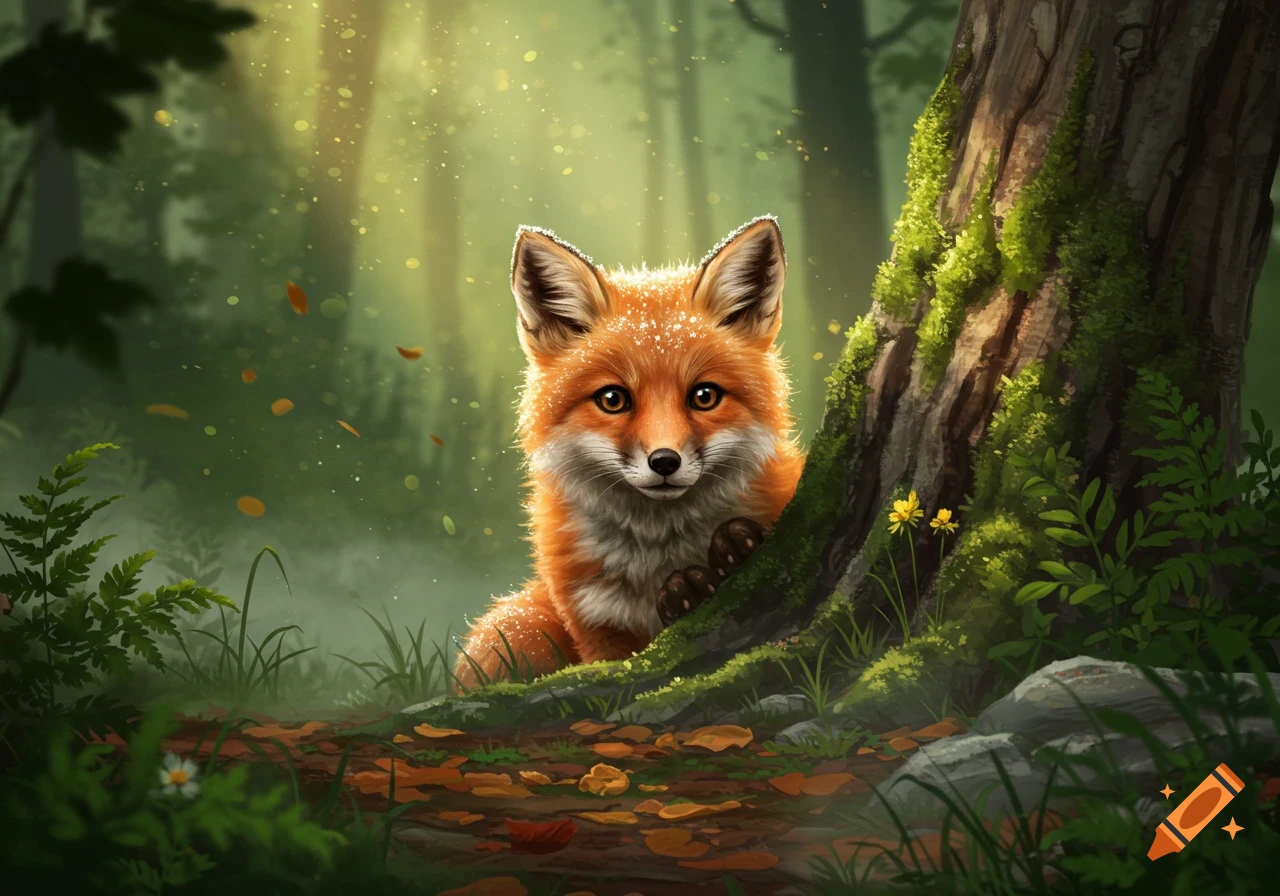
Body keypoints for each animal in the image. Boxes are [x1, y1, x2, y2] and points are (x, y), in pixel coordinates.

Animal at [452, 216, 806, 691]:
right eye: (613, 400)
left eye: (705, 396)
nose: (665, 462)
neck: (657, 557)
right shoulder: (599, 630)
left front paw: (729, 554)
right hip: (510, 629)